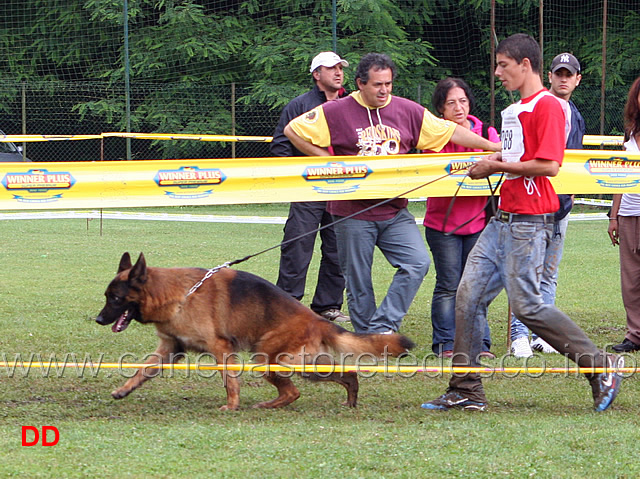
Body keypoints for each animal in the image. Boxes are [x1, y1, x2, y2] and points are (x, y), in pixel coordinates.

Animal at [95, 253, 416, 410]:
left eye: (115, 298)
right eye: (106, 296)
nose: (98, 319)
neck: (178, 294)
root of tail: (316, 319)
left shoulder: (221, 349)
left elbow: (230, 382)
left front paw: (232, 406)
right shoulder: (169, 349)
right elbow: (142, 371)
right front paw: (124, 389)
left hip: (272, 359)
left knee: (296, 390)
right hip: (299, 363)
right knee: (342, 375)